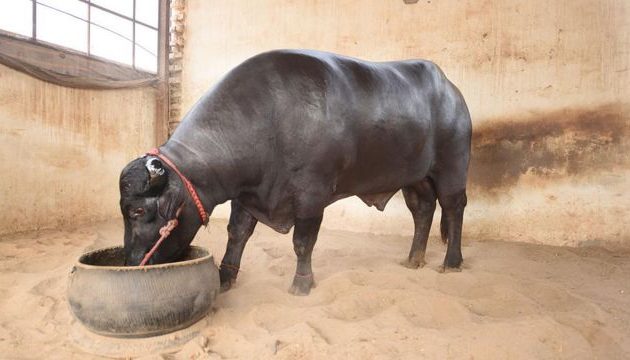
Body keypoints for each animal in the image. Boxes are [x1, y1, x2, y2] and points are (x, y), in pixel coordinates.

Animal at [121, 48, 472, 296]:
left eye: (137, 211)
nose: (130, 263)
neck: (270, 120)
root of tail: (452, 92)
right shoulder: (247, 196)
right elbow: (237, 234)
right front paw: (225, 277)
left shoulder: (311, 195)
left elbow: (303, 241)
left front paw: (303, 282)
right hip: (416, 178)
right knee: (423, 210)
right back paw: (414, 259)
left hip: (453, 166)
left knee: (454, 208)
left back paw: (451, 262)